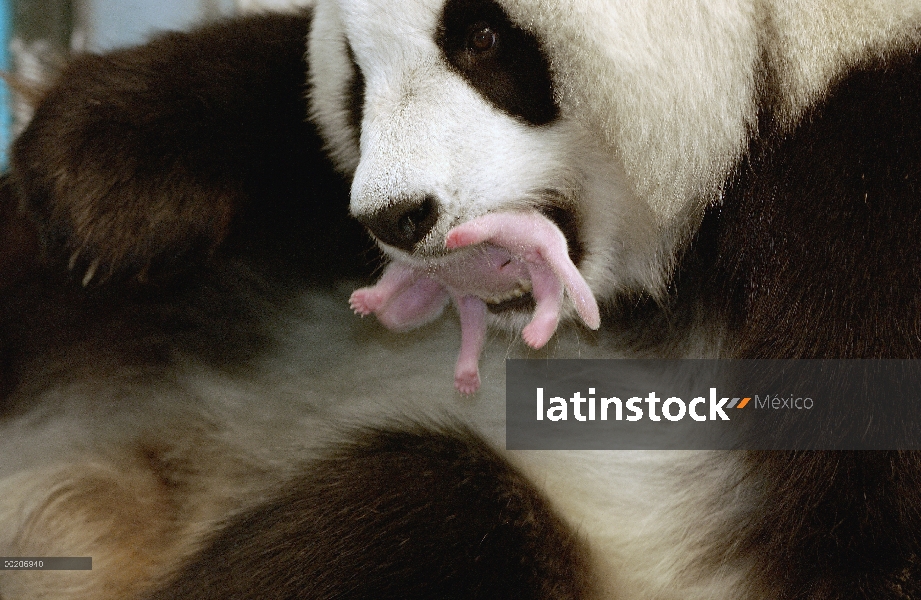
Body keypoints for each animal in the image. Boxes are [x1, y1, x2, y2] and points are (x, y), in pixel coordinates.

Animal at [0, 0, 916, 596]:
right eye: (356, 71)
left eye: (481, 35)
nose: (393, 217)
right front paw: (100, 174)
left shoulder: (868, 179)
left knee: (431, 514)